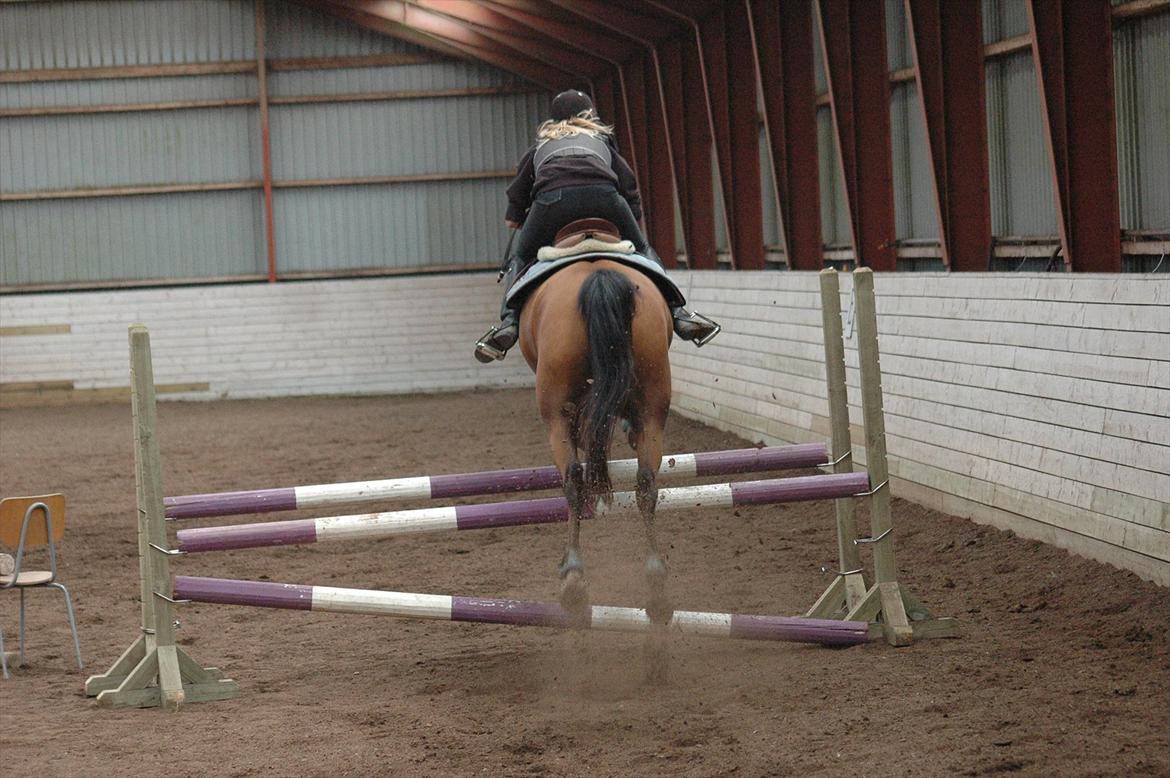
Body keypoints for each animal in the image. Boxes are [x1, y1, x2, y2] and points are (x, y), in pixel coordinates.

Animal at [514, 216, 673, 636]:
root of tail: (598, 275)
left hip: (554, 412)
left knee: (572, 477)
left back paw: (573, 576)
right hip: (654, 400)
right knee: (646, 483)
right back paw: (657, 587)